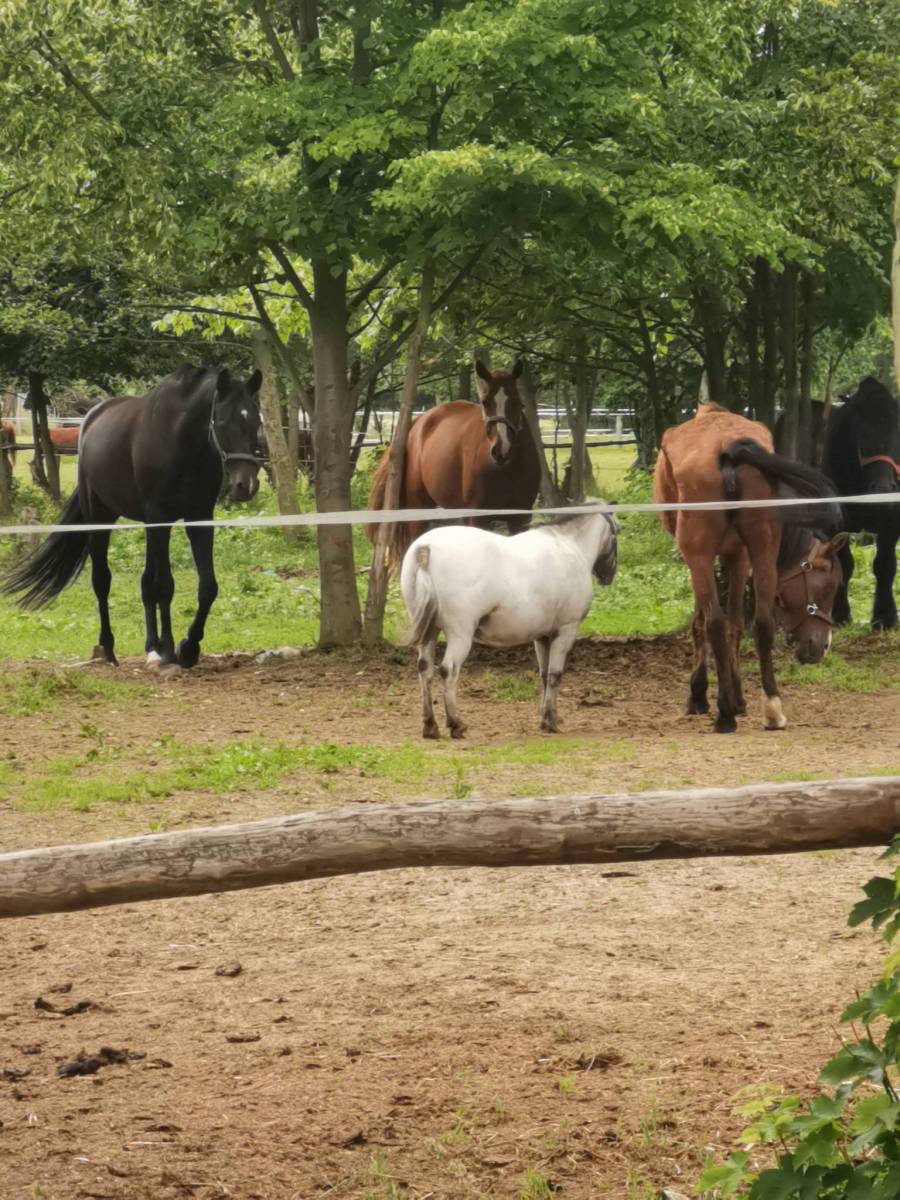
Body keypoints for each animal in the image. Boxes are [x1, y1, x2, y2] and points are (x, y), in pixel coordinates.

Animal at [2, 365, 263, 669]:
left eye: (256, 421)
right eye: (221, 420)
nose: (246, 485)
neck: (182, 441)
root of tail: (91, 418)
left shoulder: (198, 519)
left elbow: (206, 586)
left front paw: (188, 647)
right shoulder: (160, 519)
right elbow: (165, 585)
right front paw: (170, 649)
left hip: (146, 525)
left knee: (145, 582)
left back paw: (151, 645)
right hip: (100, 518)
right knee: (102, 581)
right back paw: (109, 647)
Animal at [369, 360, 542, 568]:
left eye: (517, 402)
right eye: (485, 402)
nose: (501, 449)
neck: (508, 471)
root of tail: (418, 423)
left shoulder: (521, 518)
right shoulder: (479, 517)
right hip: (419, 507)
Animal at [400, 507, 617, 739]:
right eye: (617, 532)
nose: (608, 576)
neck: (568, 546)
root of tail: (426, 547)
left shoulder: (543, 636)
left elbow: (544, 675)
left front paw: (545, 718)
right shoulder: (566, 630)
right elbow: (554, 675)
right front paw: (551, 721)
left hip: (429, 632)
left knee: (425, 670)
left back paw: (430, 726)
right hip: (460, 635)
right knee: (448, 670)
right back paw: (456, 724)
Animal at [654, 402, 847, 733]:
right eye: (830, 587)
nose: (823, 646)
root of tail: (727, 447)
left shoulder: (706, 559)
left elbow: (703, 624)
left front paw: (705, 695)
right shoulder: (740, 557)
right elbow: (737, 625)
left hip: (702, 554)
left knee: (716, 623)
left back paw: (725, 714)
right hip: (761, 546)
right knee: (762, 623)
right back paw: (772, 708)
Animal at [821, 376, 900, 629]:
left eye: (898, 434)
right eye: (862, 437)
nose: (884, 489)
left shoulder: (891, 520)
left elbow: (885, 565)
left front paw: (884, 617)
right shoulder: (837, 522)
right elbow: (844, 564)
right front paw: (840, 614)